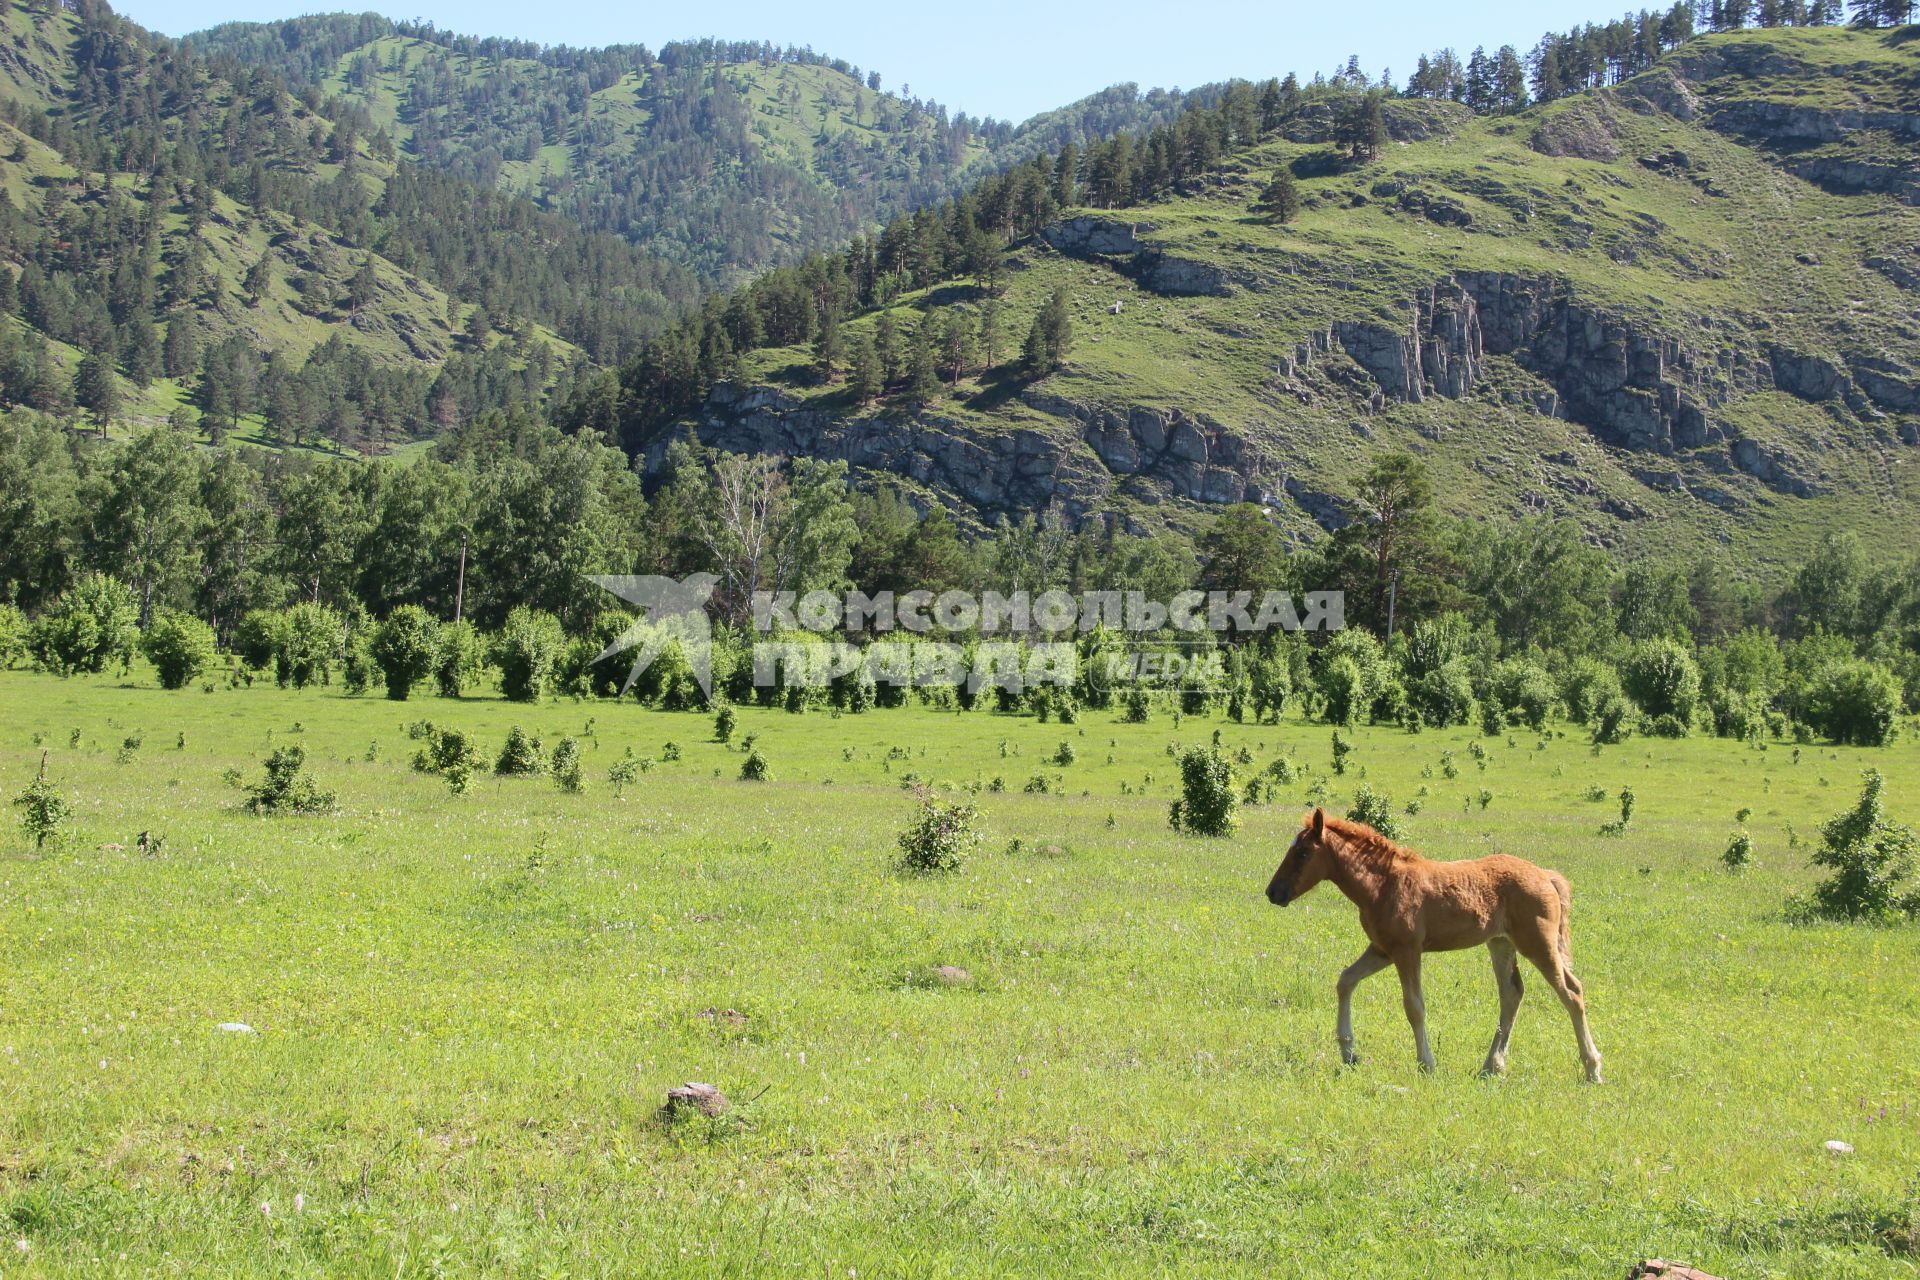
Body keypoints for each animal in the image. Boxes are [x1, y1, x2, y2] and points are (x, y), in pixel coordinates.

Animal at [1267, 809, 1597, 1082]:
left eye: (1303, 852)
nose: (1273, 892)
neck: (1383, 885)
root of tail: (1546, 875)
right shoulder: (1382, 949)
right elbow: (1346, 980)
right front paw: (1348, 1052)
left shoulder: (1407, 951)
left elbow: (1414, 1007)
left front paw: (1426, 1064)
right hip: (1501, 943)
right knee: (1512, 994)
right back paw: (1491, 1066)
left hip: (1538, 943)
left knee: (1571, 992)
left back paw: (1592, 1068)